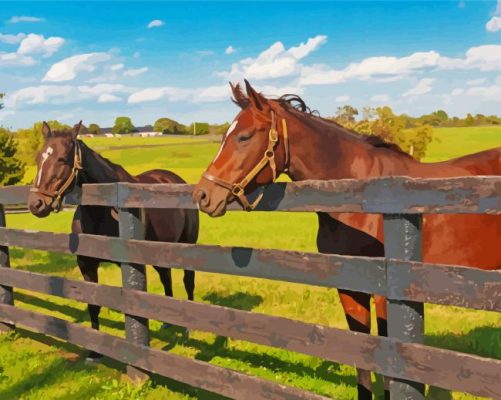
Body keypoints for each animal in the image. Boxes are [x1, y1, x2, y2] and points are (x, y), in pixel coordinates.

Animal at [28, 121, 198, 360]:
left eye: (62, 159)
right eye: (38, 157)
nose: (36, 204)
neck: (103, 209)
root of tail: (174, 179)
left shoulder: (129, 263)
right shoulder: (87, 264)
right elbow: (93, 304)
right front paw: (94, 351)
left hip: (187, 245)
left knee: (188, 280)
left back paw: (188, 329)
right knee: (166, 278)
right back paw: (167, 324)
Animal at [193, 79, 500, 398]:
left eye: (244, 136)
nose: (203, 195)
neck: (358, 198)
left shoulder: (385, 294)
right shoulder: (350, 288)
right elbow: (361, 355)